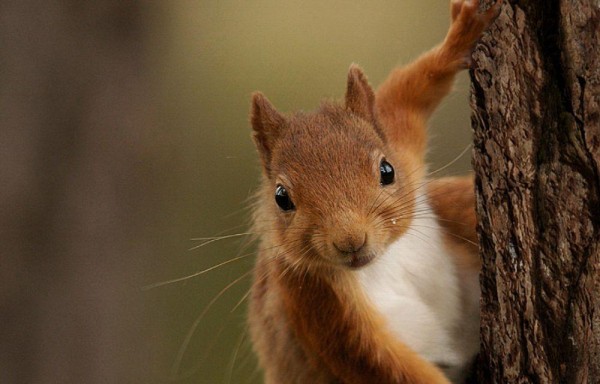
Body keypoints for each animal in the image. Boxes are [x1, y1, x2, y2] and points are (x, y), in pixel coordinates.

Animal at [247, 1, 502, 382]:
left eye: (387, 171)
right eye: (281, 198)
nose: (350, 241)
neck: (383, 261)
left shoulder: (398, 138)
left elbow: (408, 91)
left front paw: (462, 33)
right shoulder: (317, 305)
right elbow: (386, 365)